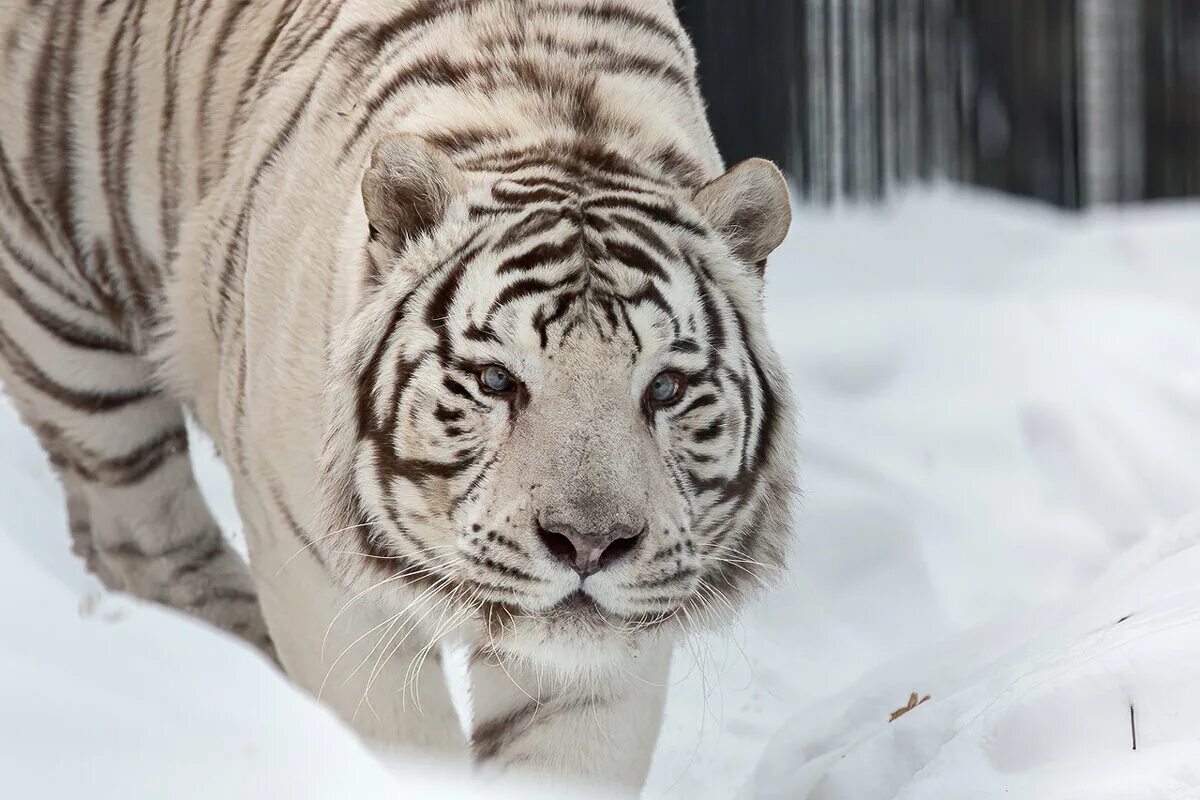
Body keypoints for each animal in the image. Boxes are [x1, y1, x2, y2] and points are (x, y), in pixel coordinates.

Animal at [4, 0, 801, 786]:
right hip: (69, 334)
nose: (590, 543)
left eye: (665, 386)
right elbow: (397, 742)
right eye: (496, 380)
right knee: (149, 539)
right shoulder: (318, 576)